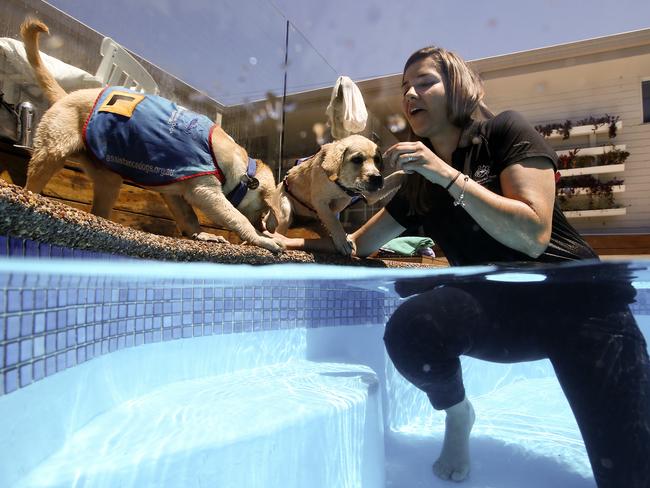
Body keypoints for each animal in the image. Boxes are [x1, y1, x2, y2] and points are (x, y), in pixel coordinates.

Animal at [19, 18, 280, 255]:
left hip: (109, 180)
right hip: (52, 152)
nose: (265, 229)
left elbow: (189, 217)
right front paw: (261, 240)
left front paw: (202, 235)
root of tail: (65, 96)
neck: (243, 170)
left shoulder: (176, 192)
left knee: (99, 208)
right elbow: (236, 217)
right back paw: (31, 198)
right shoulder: (206, 191)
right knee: (33, 183)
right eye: (262, 211)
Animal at [266, 134, 402, 255]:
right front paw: (343, 241)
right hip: (285, 212)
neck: (342, 185)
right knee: (280, 229)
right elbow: (334, 221)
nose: (377, 178)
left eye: (377, 159)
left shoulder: (369, 196)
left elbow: (397, 175)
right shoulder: (320, 201)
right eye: (357, 159)